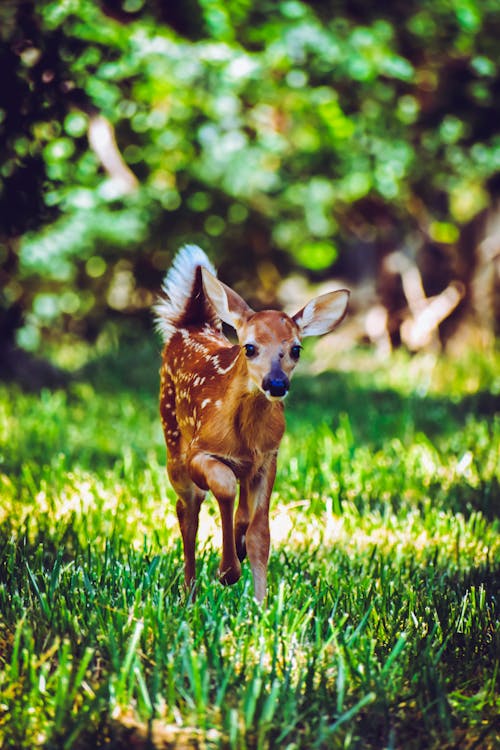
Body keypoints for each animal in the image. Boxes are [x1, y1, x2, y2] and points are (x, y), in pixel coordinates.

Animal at [154, 248, 350, 604]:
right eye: (249, 347)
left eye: (296, 349)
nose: (276, 384)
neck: (244, 438)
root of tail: (189, 326)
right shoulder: (199, 452)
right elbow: (224, 486)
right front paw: (228, 572)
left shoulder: (267, 459)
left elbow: (261, 535)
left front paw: (260, 604)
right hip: (173, 441)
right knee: (187, 510)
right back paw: (189, 593)